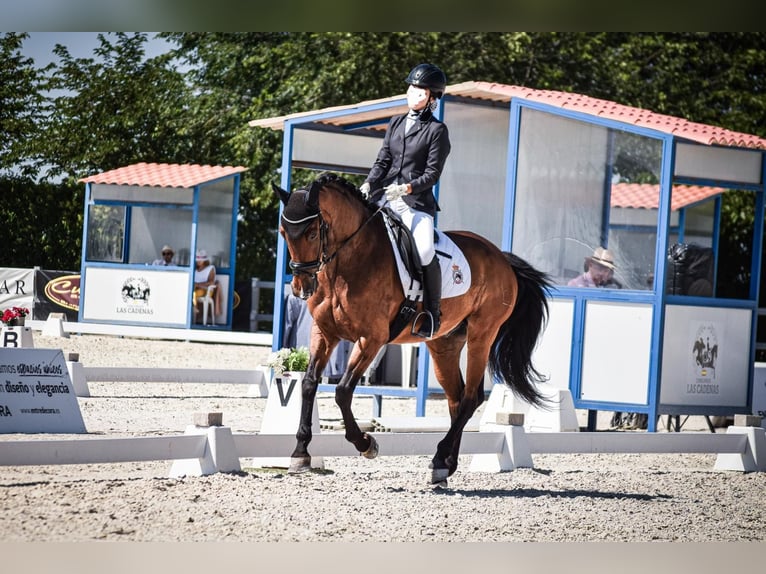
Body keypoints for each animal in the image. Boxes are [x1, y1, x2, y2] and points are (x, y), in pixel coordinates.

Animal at [276, 174, 552, 486]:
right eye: (284, 233)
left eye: (312, 233)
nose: (301, 288)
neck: (350, 260)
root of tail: (502, 258)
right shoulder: (325, 332)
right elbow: (309, 384)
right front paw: (300, 453)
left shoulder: (371, 338)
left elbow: (343, 391)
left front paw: (366, 444)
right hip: (444, 343)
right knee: (456, 399)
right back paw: (445, 466)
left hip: (482, 334)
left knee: (471, 397)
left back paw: (440, 458)